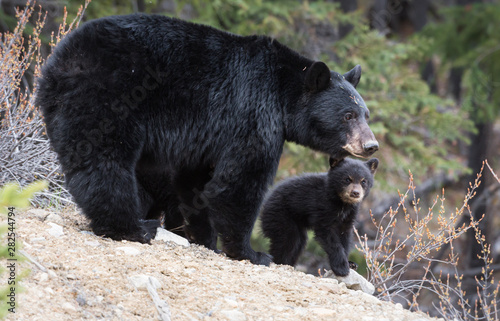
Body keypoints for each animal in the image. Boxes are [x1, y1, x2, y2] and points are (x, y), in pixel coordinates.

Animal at [36, 13, 378, 264]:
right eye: (348, 115)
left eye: (366, 114)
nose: (371, 145)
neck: (283, 94)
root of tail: (60, 60)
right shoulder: (253, 114)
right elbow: (242, 181)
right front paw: (251, 253)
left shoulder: (205, 137)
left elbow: (196, 183)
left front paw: (204, 239)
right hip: (110, 95)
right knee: (105, 160)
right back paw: (132, 227)